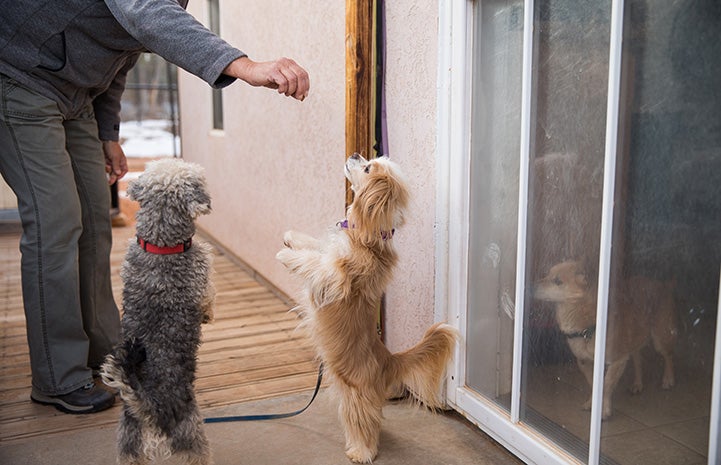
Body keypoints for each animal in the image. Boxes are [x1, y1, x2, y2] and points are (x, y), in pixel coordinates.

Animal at [100, 160, 214, 464]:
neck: (161, 245)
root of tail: (151, 410)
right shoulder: (202, 277)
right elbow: (209, 298)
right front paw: (208, 315)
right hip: (193, 436)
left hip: (128, 444)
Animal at [278, 154, 458, 462]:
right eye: (370, 160)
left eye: (367, 168)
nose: (355, 155)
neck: (363, 234)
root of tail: (389, 360)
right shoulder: (328, 257)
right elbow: (316, 248)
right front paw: (292, 237)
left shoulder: (334, 278)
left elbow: (313, 262)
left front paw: (286, 254)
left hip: (355, 397)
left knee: (365, 427)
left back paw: (360, 452)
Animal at [536, 260, 676, 416]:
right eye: (546, 274)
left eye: (558, 281)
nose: (532, 286)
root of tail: (662, 285)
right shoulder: (584, 362)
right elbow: (594, 384)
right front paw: (592, 403)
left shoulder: (617, 361)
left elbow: (606, 385)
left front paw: (604, 411)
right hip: (633, 337)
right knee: (637, 358)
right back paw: (637, 384)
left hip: (660, 337)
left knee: (668, 355)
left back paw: (668, 379)